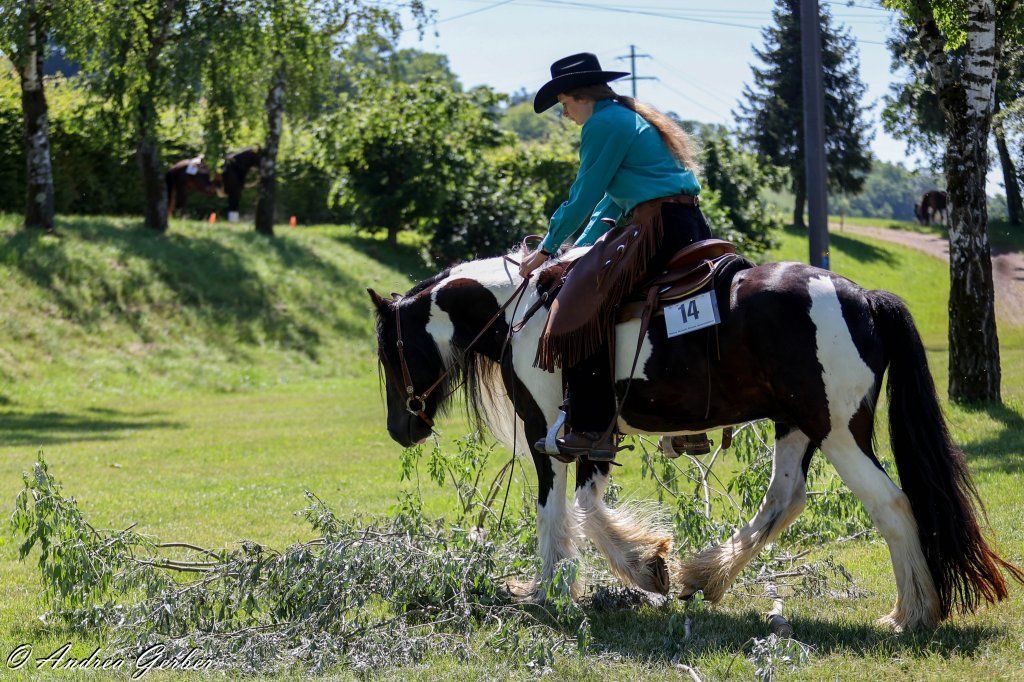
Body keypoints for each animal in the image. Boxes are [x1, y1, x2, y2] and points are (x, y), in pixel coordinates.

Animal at [368, 247, 1021, 632]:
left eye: (388, 351)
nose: (401, 429)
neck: (521, 313)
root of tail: (864, 297)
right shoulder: (590, 436)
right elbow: (587, 505)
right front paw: (651, 568)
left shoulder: (545, 432)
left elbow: (557, 511)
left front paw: (558, 589)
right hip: (799, 426)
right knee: (785, 498)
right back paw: (708, 575)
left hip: (840, 431)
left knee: (892, 505)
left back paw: (912, 613)